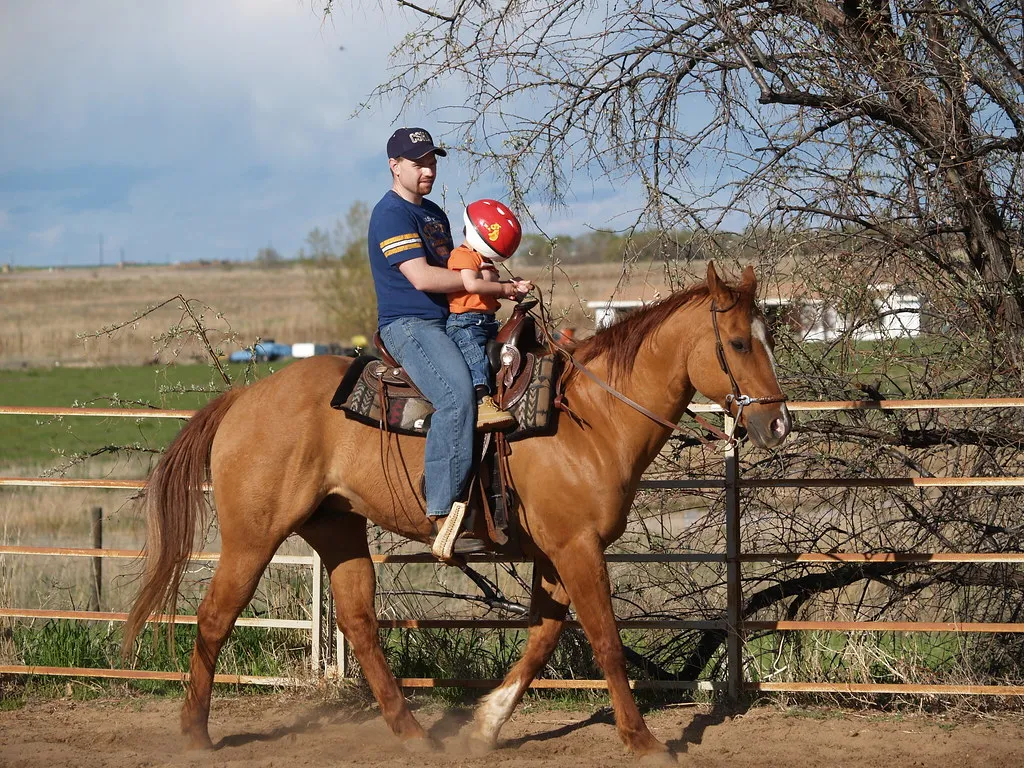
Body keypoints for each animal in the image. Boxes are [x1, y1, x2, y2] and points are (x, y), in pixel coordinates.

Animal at [122, 261, 791, 763]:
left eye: (770, 339)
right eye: (737, 343)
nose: (778, 423)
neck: (591, 417)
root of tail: (243, 399)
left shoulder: (555, 552)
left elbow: (543, 635)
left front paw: (485, 725)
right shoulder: (576, 547)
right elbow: (603, 637)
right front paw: (643, 740)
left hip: (337, 528)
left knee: (359, 623)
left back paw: (414, 734)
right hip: (252, 536)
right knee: (215, 617)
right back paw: (196, 735)